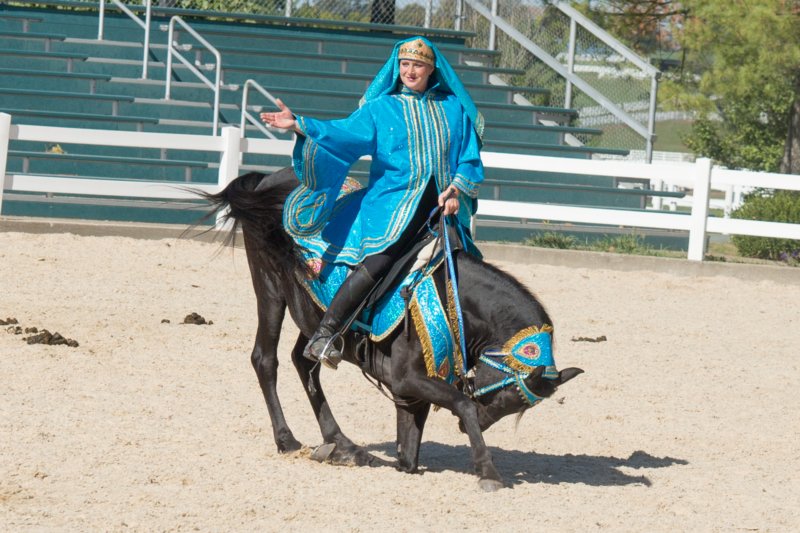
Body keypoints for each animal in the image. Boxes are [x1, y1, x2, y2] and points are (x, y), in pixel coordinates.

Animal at [202, 169, 580, 490]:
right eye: (506, 396)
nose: (481, 423)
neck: (449, 293)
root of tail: (268, 180)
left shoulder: (414, 391)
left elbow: (409, 456)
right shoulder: (406, 379)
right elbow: (462, 403)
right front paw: (487, 470)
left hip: (311, 314)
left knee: (304, 360)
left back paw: (341, 444)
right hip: (270, 290)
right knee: (266, 360)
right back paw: (287, 439)